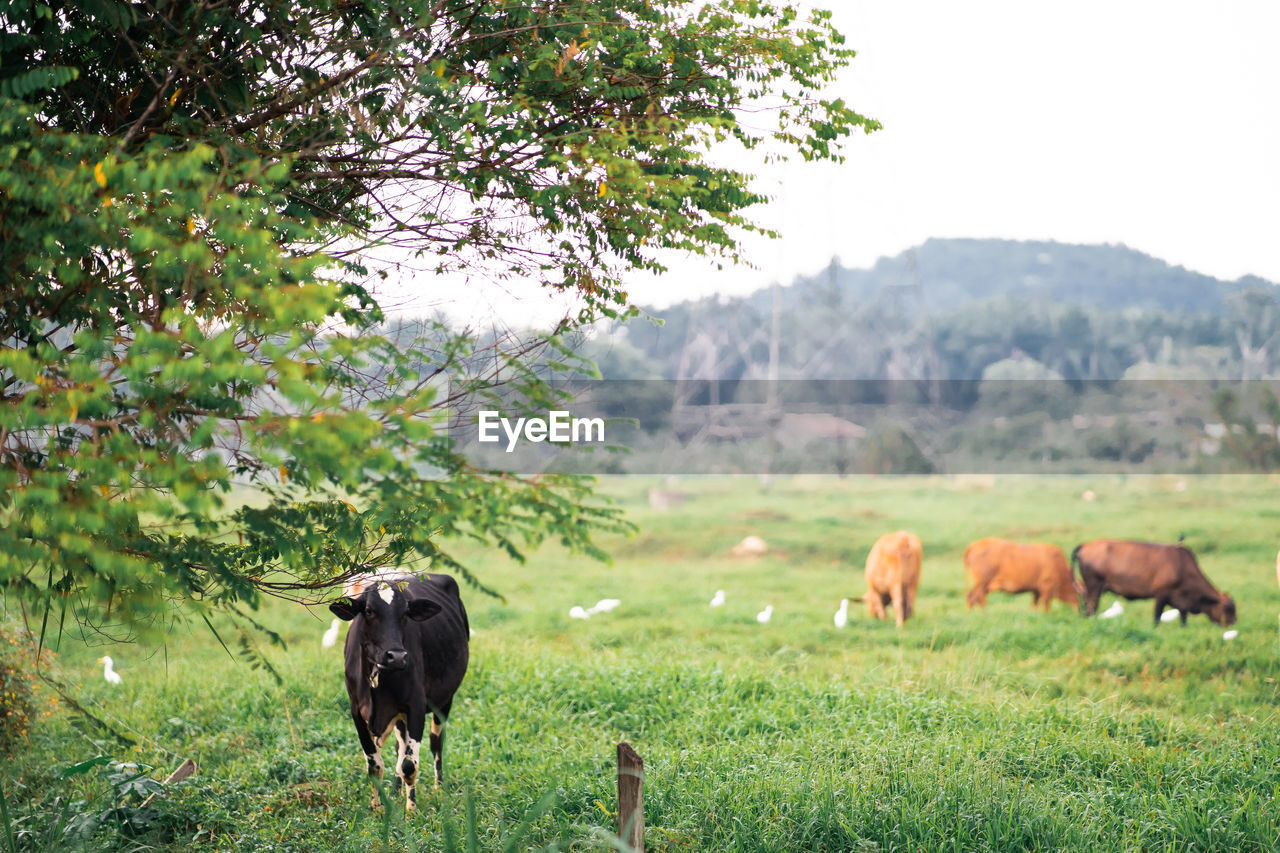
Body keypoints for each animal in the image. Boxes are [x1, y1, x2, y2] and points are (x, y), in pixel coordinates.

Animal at [330, 571, 471, 804]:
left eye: (405, 612)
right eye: (368, 610)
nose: (396, 656)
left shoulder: (416, 706)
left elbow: (409, 766)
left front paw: (411, 809)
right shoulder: (356, 710)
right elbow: (375, 765)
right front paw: (377, 807)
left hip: (445, 699)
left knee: (435, 743)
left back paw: (438, 787)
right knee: (399, 748)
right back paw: (396, 791)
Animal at [1070, 537, 1239, 625]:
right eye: (1228, 608)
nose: (1233, 623)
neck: (1182, 566)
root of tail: (1084, 546)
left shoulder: (1181, 604)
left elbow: (1183, 619)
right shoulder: (1161, 596)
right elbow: (1157, 617)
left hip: (1090, 588)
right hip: (1095, 588)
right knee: (1091, 607)